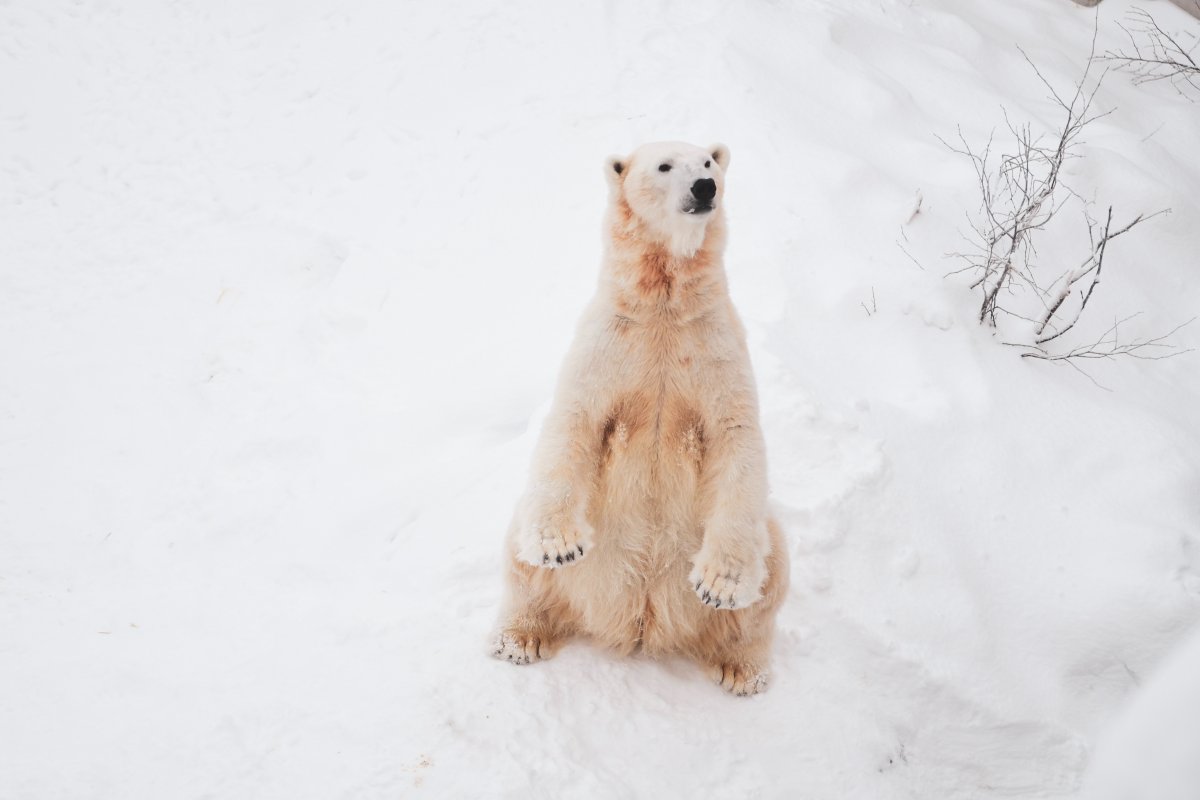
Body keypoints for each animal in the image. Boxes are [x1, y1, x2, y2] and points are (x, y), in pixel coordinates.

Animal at [491, 141, 789, 696]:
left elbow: (736, 436)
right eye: (664, 165)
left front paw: (718, 585)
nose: (704, 188)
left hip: (761, 547)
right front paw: (560, 546)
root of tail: (640, 620)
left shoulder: (714, 348)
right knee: (522, 559)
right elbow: (574, 419)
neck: (663, 304)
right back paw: (519, 637)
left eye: (708, 163)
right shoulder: (610, 341)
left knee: (771, 574)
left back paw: (741, 667)